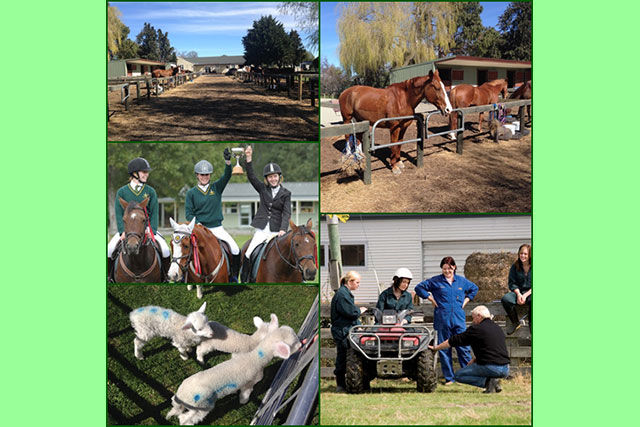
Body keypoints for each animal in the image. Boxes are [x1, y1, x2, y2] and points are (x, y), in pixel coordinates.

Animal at [165, 312, 304, 426]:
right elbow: (246, 393)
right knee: (185, 419)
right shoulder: (250, 382)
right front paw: (243, 401)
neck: (255, 358)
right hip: (202, 406)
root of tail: (181, 395)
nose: (302, 344)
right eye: (293, 344)